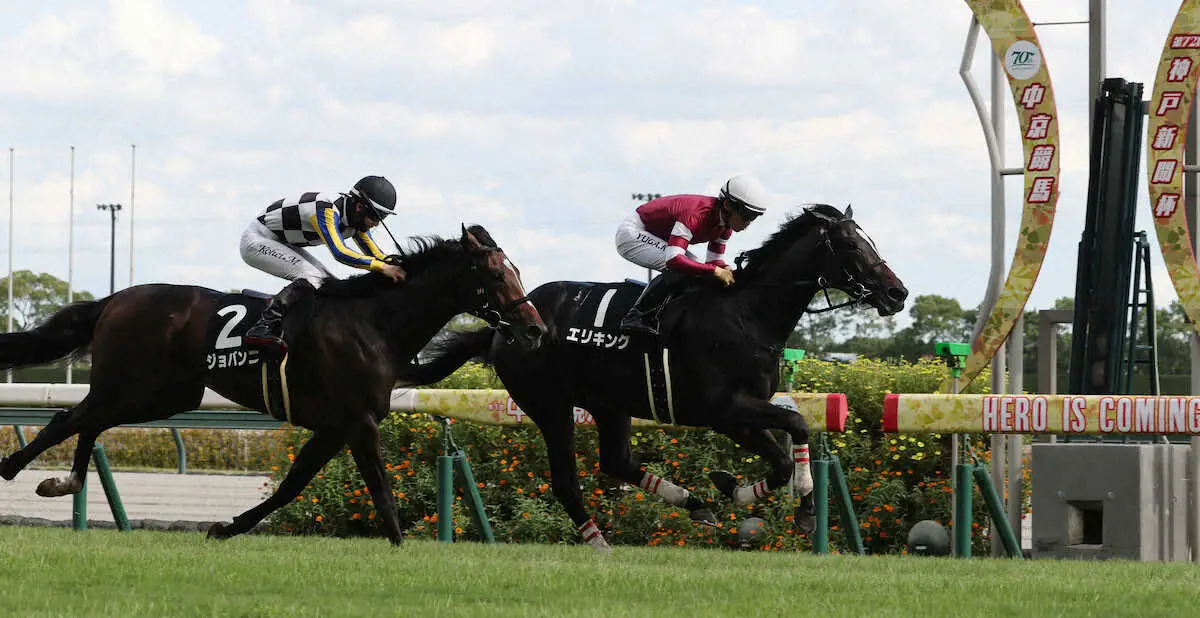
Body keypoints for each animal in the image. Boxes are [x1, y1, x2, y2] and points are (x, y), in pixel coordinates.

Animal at [0, 224, 544, 544]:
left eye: (516, 270)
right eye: (498, 276)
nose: (535, 329)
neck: (375, 323)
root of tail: (113, 299)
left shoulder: (335, 426)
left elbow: (292, 486)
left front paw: (226, 527)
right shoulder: (358, 421)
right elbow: (381, 488)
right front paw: (400, 545)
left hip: (164, 394)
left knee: (87, 421)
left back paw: (62, 481)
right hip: (138, 386)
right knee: (69, 418)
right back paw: (14, 468)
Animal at [398, 206, 902, 552]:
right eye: (853, 247)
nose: (898, 293)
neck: (746, 314)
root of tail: (505, 327)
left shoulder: (736, 415)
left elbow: (779, 459)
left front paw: (730, 487)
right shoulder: (722, 407)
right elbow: (795, 427)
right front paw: (804, 511)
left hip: (609, 405)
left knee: (617, 462)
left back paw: (695, 505)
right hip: (551, 406)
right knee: (566, 481)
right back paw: (599, 540)